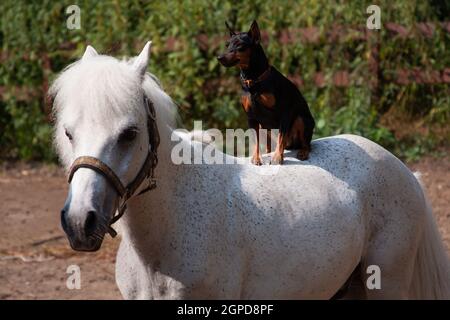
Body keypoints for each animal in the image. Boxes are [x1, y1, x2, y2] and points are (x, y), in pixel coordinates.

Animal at [217, 20, 314, 165]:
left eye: (240, 46)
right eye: (227, 45)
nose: (219, 57)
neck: (253, 80)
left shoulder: (284, 112)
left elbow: (281, 137)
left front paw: (277, 157)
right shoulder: (251, 117)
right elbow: (255, 140)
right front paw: (256, 158)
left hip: (301, 119)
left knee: (306, 143)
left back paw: (303, 152)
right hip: (265, 128)